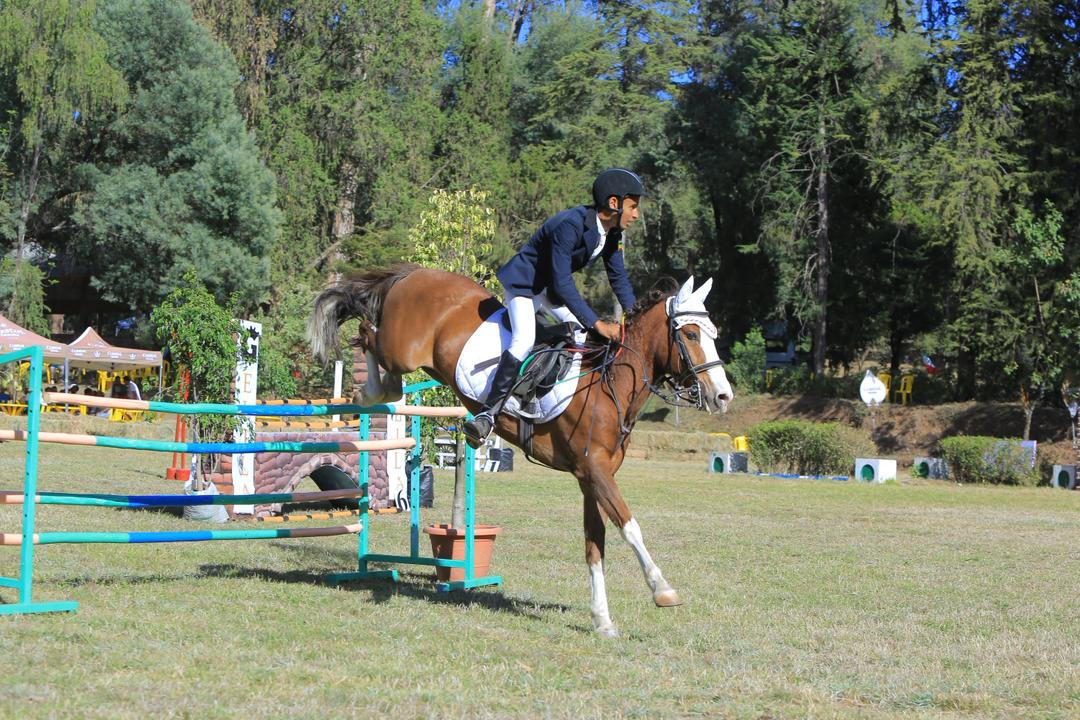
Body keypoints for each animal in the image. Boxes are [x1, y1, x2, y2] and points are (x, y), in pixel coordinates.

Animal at [308, 264, 734, 637]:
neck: (609, 382)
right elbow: (630, 528)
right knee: (368, 333)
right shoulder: (595, 471)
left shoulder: (590, 476)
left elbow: (594, 544)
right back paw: (368, 389)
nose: (723, 397)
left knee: (384, 365)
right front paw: (663, 590)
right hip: (402, 349)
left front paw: (602, 620)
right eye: (691, 335)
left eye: (712, 332)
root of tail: (416, 273)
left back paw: (372, 392)